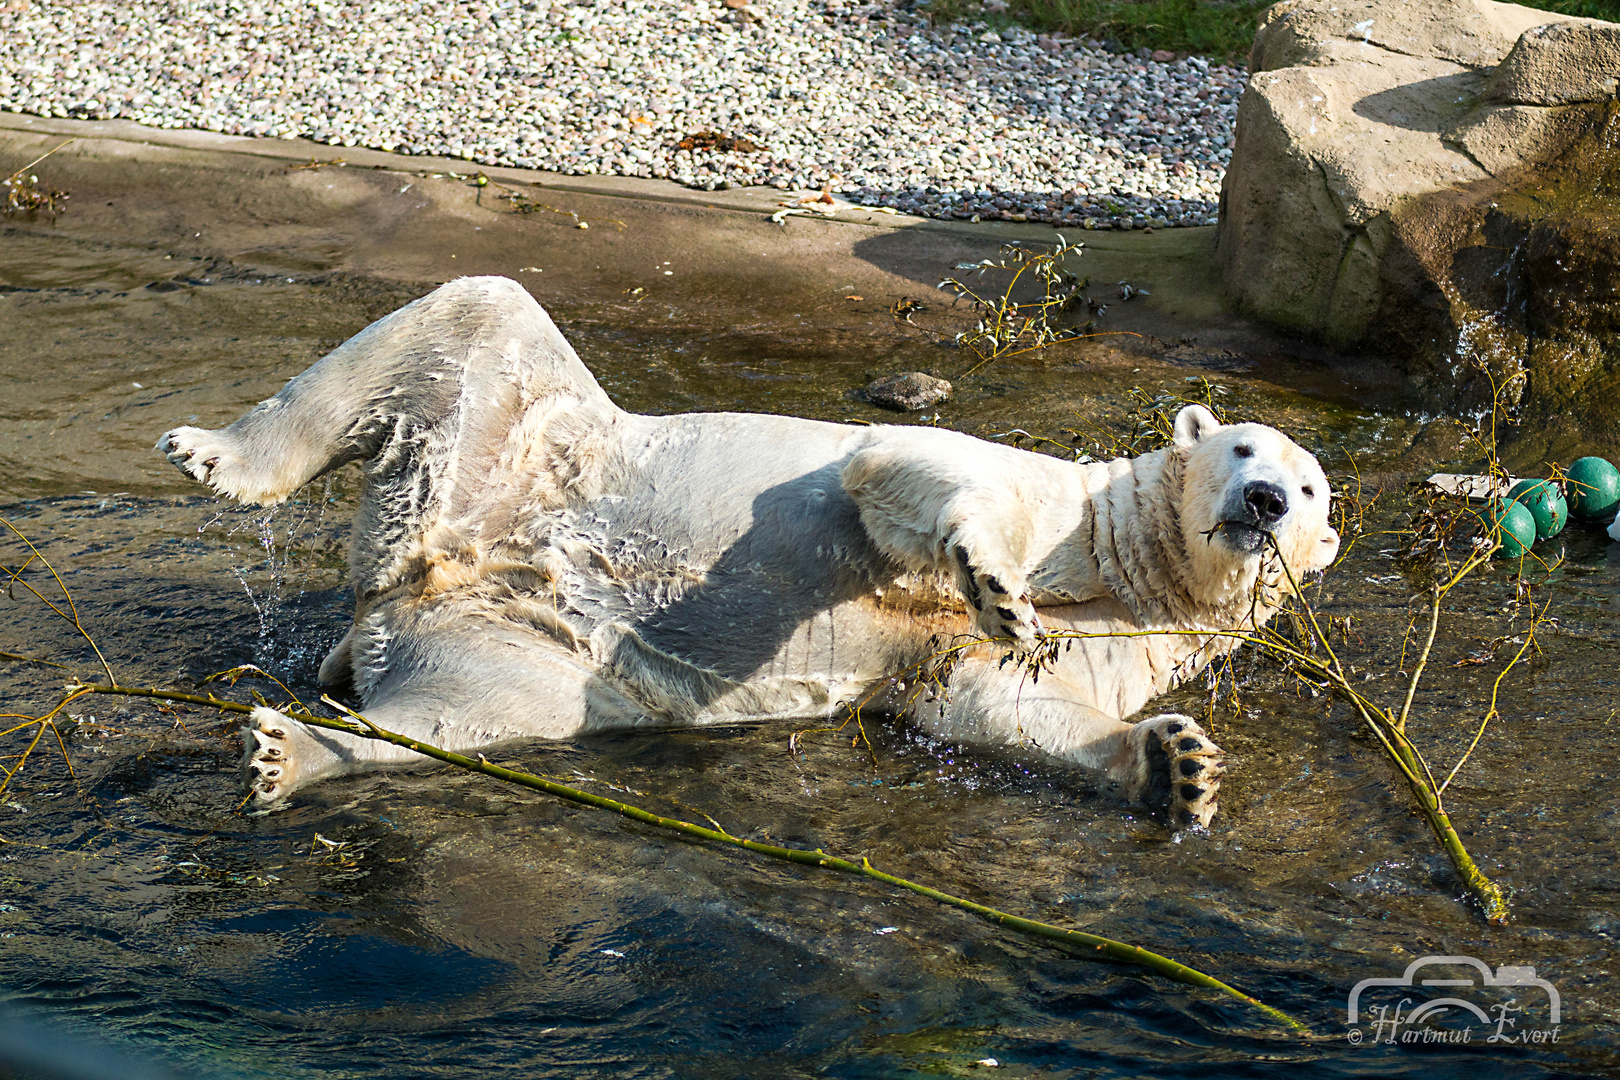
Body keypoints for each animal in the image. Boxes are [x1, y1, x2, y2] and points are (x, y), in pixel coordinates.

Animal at [154, 276, 1341, 829]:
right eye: (1244, 446)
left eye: (1312, 489)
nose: (1266, 500)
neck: (1134, 564)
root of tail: (415, 570)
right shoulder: (1060, 502)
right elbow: (911, 478)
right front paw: (996, 588)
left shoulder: (1140, 636)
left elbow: (990, 703)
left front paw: (1178, 768)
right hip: (512, 432)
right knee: (474, 313)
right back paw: (212, 452)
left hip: (519, 638)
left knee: (471, 719)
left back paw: (294, 752)